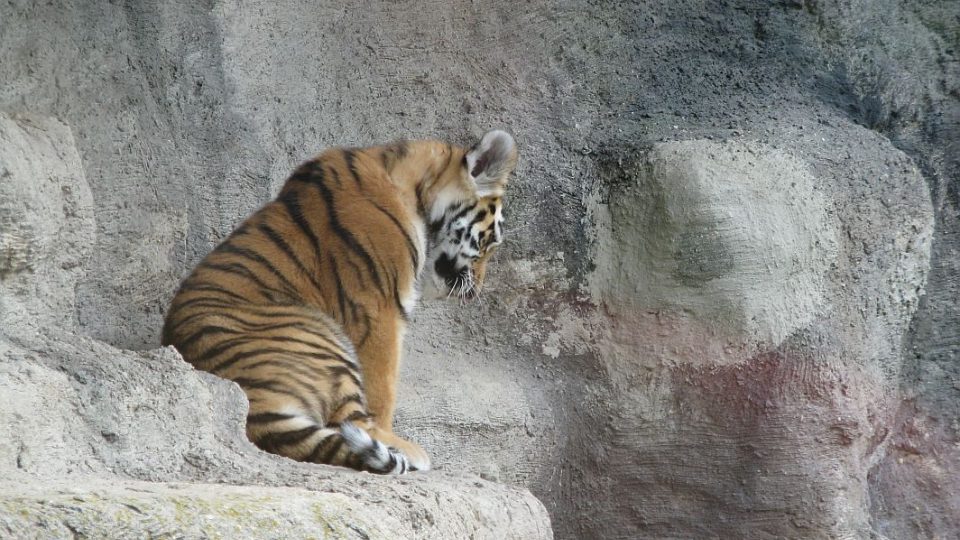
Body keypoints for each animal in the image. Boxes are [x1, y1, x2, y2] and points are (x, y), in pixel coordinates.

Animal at [161, 130, 516, 472]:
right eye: (491, 242)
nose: (475, 291)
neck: (414, 190)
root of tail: (255, 404)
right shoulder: (378, 307)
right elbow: (382, 388)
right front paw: (389, 434)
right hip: (319, 337)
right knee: (349, 420)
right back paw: (406, 449)